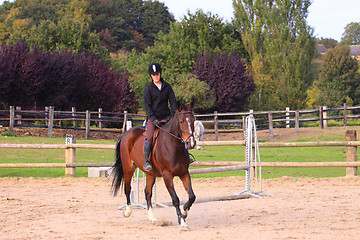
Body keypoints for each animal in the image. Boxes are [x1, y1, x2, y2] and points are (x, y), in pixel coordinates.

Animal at [112, 99, 197, 229]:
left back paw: (152, 218)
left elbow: (192, 196)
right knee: (128, 188)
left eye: (193, 120)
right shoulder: (167, 176)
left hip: (150, 174)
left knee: (148, 193)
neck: (173, 146)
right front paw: (182, 222)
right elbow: (175, 199)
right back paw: (127, 212)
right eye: (181, 121)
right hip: (128, 168)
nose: (190, 143)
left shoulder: (184, 173)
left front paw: (184, 213)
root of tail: (127, 133)